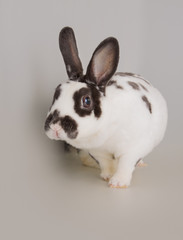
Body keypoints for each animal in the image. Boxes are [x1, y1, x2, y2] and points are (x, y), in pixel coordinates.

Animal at [44, 26, 167, 188]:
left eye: (87, 100)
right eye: (56, 93)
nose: (55, 127)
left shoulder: (133, 148)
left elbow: (126, 164)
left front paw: (118, 183)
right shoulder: (98, 152)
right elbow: (105, 163)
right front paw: (107, 176)